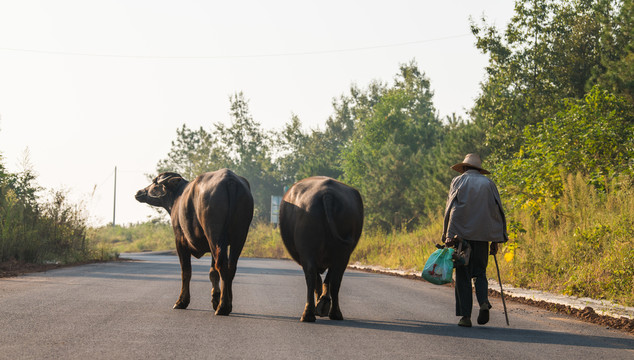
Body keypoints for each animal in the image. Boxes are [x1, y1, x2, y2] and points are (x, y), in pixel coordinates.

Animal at [135, 169, 253, 316]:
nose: (139, 192)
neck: (176, 197)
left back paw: (222, 307)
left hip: (215, 235)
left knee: (222, 265)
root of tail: (229, 180)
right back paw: (226, 304)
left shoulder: (180, 241)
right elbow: (212, 273)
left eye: (154, 182)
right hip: (239, 236)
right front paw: (215, 299)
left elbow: (186, 271)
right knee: (230, 266)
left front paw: (181, 301)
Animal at [278, 176, 362, 322]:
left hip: (307, 247)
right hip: (343, 252)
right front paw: (322, 302)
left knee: (311, 275)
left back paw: (309, 313)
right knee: (336, 279)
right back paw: (332, 312)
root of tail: (327, 194)